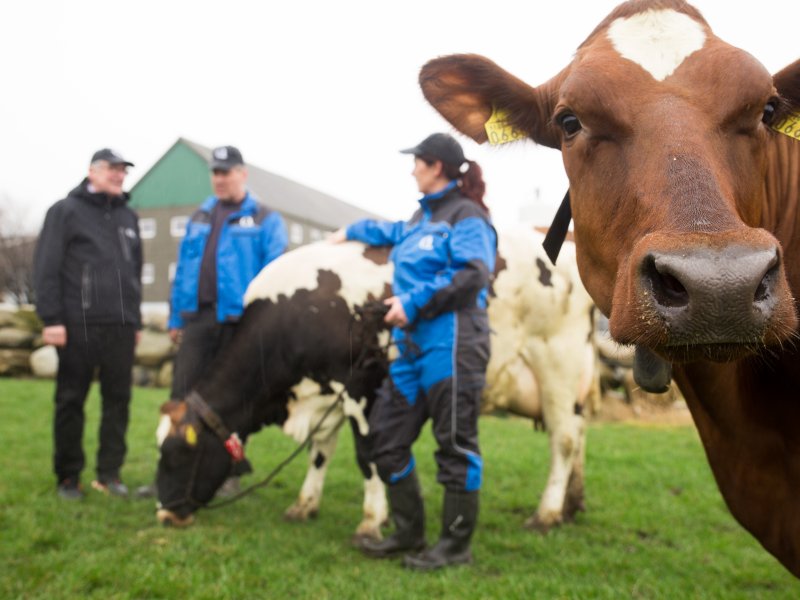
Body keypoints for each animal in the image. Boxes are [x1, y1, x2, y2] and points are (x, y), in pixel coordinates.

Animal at [156, 227, 596, 536]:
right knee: (579, 433)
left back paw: (547, 513)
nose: (164, 513)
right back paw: (572, 505)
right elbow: (320, 450)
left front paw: (371, 520)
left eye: (178, 453)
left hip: (557, 362)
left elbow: (366, 455)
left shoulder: (363, 388)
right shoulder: (326, 392)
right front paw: (305, 504)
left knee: (563, 439)